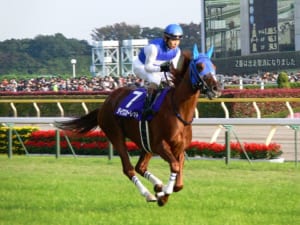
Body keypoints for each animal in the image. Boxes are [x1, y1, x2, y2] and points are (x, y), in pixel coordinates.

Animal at [55, 44, 220, 207]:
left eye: (214, 66)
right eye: (199, 66)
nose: (216, 88)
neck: (178, 110)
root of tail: (104, 104)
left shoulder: (179, 148)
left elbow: (179, 182)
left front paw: (163, 191)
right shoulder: (160, 145)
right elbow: (175, 166)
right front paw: (163, 196)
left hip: (145, 143)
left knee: (140, 167)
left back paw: (157, 186)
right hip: (116, 135)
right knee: (129, 169)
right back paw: (148, 194)